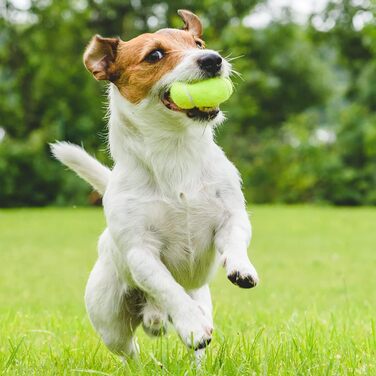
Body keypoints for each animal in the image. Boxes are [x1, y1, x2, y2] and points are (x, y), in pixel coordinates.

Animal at [51, 9, 258, 358]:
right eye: (155, 55)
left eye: (198, 43)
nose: (212, 59)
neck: (175, 152)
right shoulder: (140, 253)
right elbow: (167, 286)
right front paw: (190, 323)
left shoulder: (231, 216)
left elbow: (234, 240)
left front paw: (241, 268)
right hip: (110, 322)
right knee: (131, 351)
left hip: (200, 297)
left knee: (195, 343)